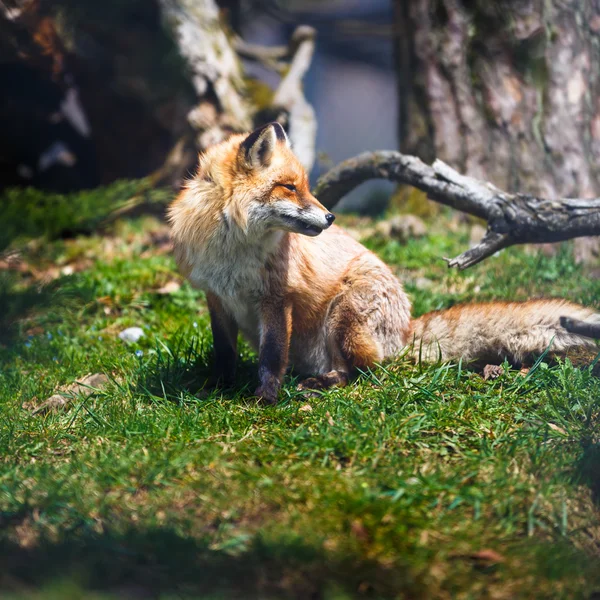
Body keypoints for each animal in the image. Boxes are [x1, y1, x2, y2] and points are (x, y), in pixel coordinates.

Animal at [169, 121, 600, 404]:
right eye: (289, 188)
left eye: (305, 186)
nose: (330, 217)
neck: (233, 252)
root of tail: (406, 327)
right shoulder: (216, 297)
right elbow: (224, 352)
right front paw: (218, 386)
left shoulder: (276, 298)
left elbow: (272, 355)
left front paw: (267, 397)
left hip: (343, 319)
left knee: (362, 372)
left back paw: (319, 384)